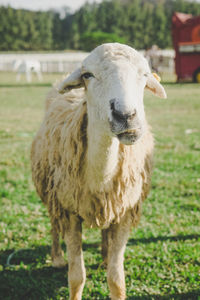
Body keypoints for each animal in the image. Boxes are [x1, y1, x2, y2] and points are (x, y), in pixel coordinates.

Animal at [30, 42, 166, 300]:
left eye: (145, 75)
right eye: (88, 75)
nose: (126, 116)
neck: (99, 177)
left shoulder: (125, 211)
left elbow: (116, 279)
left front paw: (110, 267)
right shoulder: (69, 211)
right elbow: (76, 277)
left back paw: (104, 255)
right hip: (52, 193)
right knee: (53, 223)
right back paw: (57, 258)